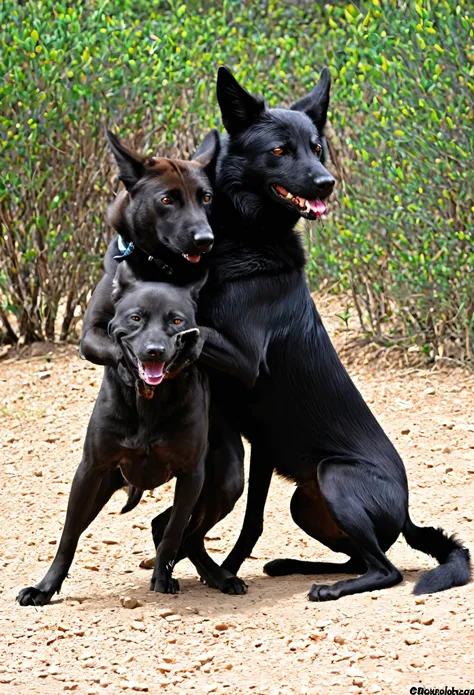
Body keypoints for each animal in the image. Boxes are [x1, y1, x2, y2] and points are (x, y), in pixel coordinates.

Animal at [18, 264, 208, 608]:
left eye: (176, 321)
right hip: (100, 487)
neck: (148, 400)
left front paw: (163, 578)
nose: (154, 351)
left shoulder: (192, 476)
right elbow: (68, 535)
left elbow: (173, 532)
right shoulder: (90, 470)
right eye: (135, 318)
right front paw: (44, 588)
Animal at [152, 66, 470, 600]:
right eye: (280, 150)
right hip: (305, 501)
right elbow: (250, 522)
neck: (245, 235)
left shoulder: (244, 357)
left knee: (385, 568)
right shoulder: (260, 447)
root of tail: (407, 514)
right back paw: (289, 565)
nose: (327, 182)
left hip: (333, 475)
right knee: (355, 557)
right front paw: (223, 570)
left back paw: (328, 588)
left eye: (317, 147)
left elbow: (196, 330)